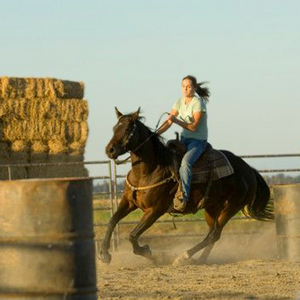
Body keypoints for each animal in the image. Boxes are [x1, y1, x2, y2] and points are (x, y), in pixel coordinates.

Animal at [99, 107, 274, 264]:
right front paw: (104, 254)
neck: (149, 170)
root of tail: (249, 170)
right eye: (114, 128)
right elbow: (112, 220)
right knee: (212, 233)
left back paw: (184, 256)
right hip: (212, 208)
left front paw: (150, 253)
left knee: (214, 234)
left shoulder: (155, 210)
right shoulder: (129, 202)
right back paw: (200, 259)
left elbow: (132, 236)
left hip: (231, 206)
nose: (110, 150)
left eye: (128, 129)